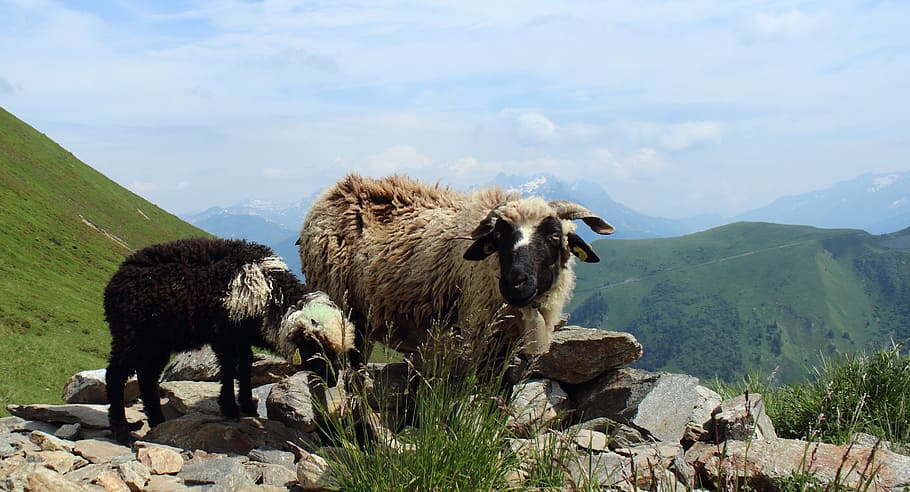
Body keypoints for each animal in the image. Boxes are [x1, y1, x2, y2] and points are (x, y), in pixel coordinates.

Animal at [103, 237, 354, 442]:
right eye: (316, 347)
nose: (333, 380)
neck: (271, 294)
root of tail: (116, 279)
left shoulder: (239, 336)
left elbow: (245, 364)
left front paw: (247, 406)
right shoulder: (223, 334)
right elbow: (229, 367)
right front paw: (230, 408)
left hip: (157, 343)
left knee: (147, 377)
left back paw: (157, 421)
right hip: (132, 337)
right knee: (115, 375)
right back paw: (121, 430)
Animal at [296, 174, 614, 367]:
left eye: (554, 236)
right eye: (499, 236)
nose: (514, 283)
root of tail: (334, 191)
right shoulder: (476, 335)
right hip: (339, 309)